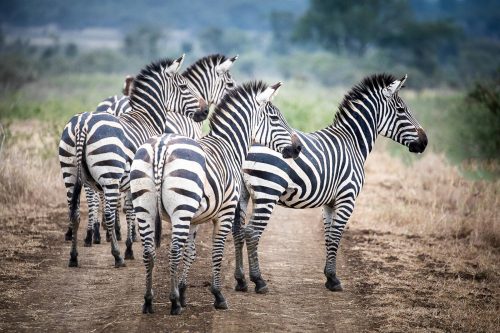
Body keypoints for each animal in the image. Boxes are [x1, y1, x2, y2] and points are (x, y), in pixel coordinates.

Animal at [62, 54, 238, 246]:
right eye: (184, 86)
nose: (205, 111)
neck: (147, 118)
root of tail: (84, 123)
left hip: (72, 170)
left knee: (78, 205)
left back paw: (86, 238)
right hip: (109, 170)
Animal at [129, 80, 300, 314]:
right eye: (275, 118)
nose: (298, 147)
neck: (229, 146)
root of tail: (162, 146)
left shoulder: (194, 219)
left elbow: (191, 252)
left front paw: (183, 291)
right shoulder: (225, 211)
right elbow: (216, 251)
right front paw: (217, 296)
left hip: (145, 207)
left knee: (149, 252)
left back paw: (148, 301)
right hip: (180, 209)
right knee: (173, 251)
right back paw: (173, 303)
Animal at [232, 73, 428, 294]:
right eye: (402, 110)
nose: (425, 142)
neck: (353, 143)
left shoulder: (329, 202)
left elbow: (328, 236)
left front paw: (328, 275)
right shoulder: (347, 197)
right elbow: (336, 235)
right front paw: (334, 279)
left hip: (243, 193)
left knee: (238, 231)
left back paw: (240, 280)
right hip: (268, 193)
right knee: (251, 232)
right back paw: (258, 280)